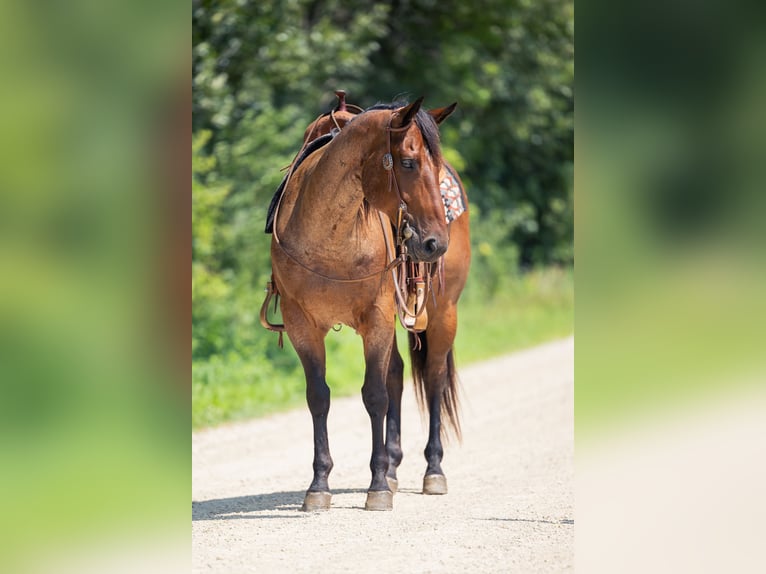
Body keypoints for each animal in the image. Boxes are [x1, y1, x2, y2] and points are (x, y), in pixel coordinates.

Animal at [264, 95, 471, 511]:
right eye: (407, 162)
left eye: (434, 165)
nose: (436, 243)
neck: (330, 236)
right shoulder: (301, 325)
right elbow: (319, 396)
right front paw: (319, 485)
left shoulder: (375, 318)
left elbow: (374, 395)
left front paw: (376, 487)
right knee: (397, 374)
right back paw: (392, 467)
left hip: (444, 313)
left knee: (434, 377)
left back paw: (432, 470)